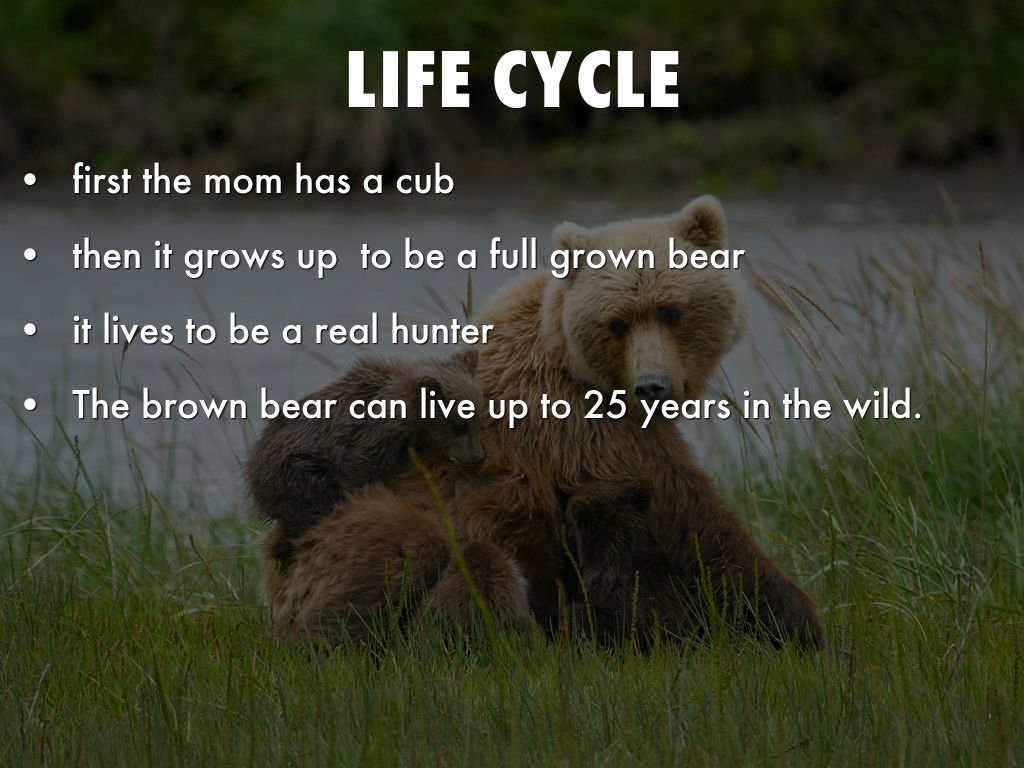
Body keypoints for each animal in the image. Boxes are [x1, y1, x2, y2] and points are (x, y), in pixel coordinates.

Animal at [246, 349, 485, 570]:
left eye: (478, 417)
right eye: (459, 425)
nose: (477, 457)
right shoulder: (363, 439)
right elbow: (359, 473)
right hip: (297, 470)